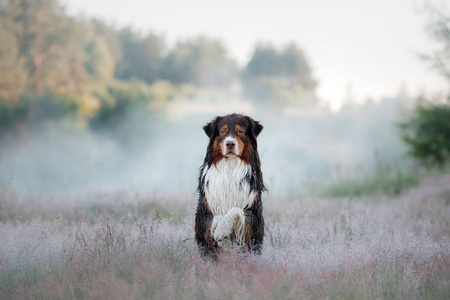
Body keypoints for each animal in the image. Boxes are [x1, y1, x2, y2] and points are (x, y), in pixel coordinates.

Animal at [195, 113, 266, 258]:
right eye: (223, 131)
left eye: (240, 131)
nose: (230, 143)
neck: (230, 165)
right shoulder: (203, 212)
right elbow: (215, 216)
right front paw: (218, 229)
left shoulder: (253, 215)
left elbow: (235, 209)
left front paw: (222, 229)